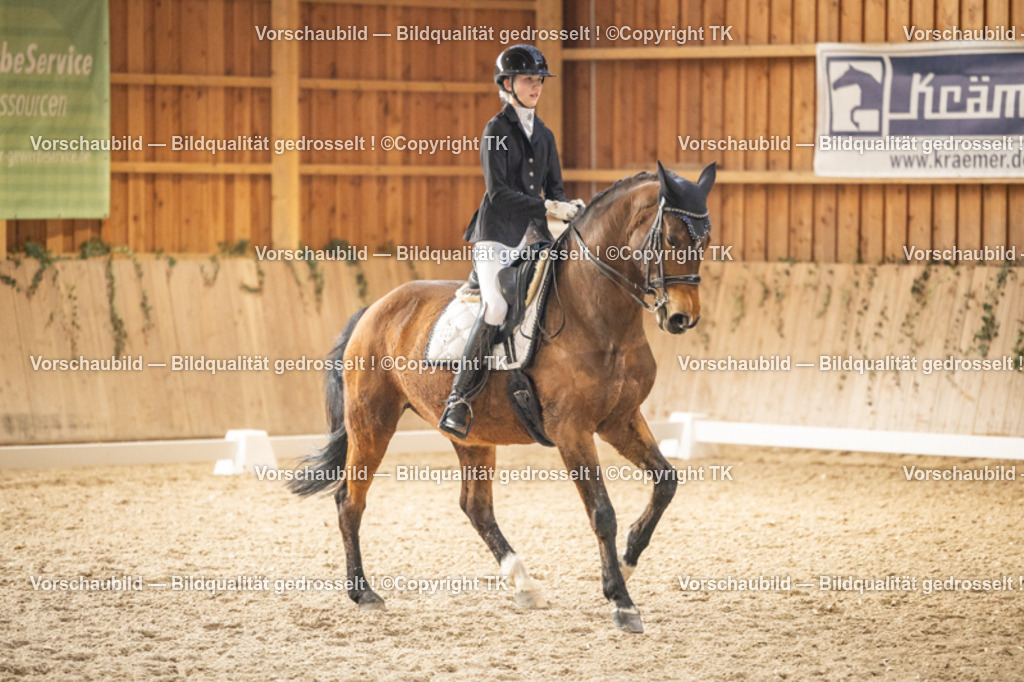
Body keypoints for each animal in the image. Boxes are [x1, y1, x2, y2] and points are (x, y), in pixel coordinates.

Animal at [290, 161, 717, 633]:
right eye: (672, 239)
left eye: (705, 241)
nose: (682, 317)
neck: (600, 316)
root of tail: (374, 308)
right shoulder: (572, 431)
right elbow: (602, 511)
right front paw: (621, 601)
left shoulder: (620, 420)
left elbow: (666, 482)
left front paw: (626, 561)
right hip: (371, 422)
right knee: (351, 500)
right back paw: (363, 593)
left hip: (471, 435)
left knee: (474, 506)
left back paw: (523, 583)